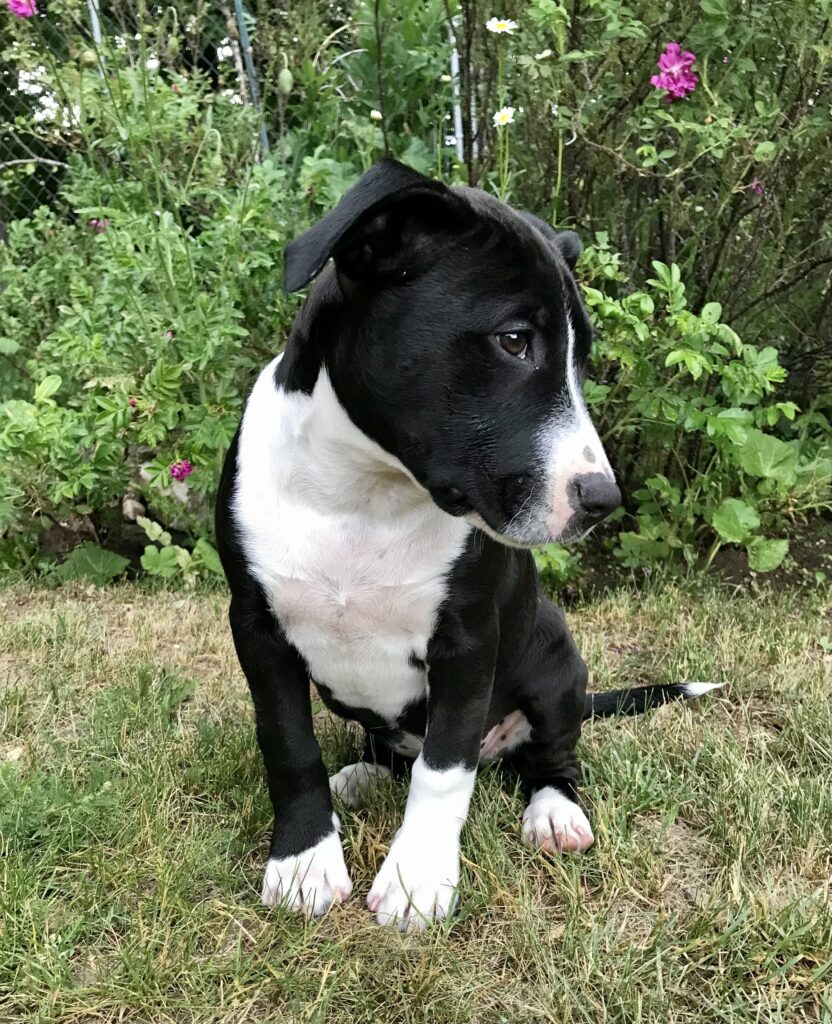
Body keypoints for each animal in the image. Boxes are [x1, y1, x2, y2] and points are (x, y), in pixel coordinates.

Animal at [216, 157, 721, 929]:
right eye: (514, 340)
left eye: (581, 361)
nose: (603, 499)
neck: (362, 494)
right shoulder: (257, 627)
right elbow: (288, 744)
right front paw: (303, 861)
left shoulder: (467, 639)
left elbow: (444, 770)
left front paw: (416, 878)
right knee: (391, 751)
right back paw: (362, 774)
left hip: (556, 662)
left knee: (551, 757)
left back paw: (554, 813)